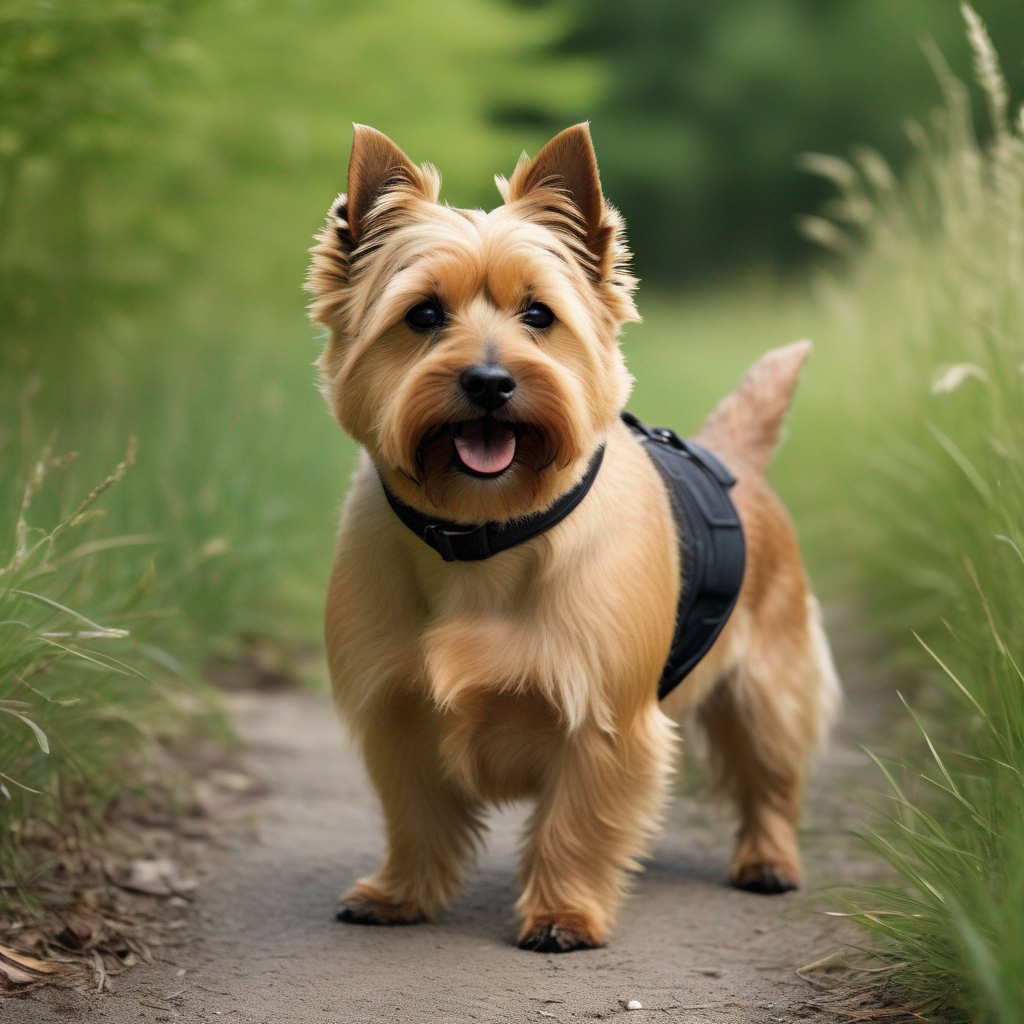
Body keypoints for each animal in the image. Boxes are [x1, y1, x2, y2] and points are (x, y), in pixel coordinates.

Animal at [305, 123, 839, 954]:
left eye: (538, 315)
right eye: (422, 315)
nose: (490, 382)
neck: (484, 533)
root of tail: (735, 460)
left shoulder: (605, 717)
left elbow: (578, 824)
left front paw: (563, 913)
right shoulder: (399, 715)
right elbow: (415, 817)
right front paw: (402, 894)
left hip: (768, 692)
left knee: (771, 780)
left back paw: (769, 860)